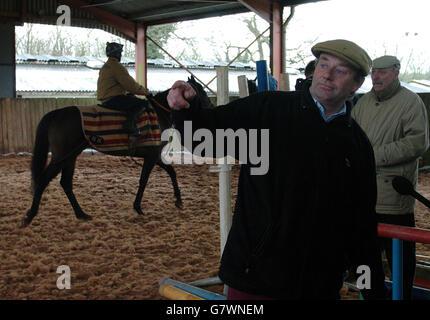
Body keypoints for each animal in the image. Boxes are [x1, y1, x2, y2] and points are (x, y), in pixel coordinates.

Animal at [21, 77, 213, 228]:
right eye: (201, 91)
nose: (210, 106)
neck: (159, 112)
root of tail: (56, 113)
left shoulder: (155, 156)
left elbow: (171, 172)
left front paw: (178, 201)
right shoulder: (152, 156)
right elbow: (144, 180)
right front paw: (138, 207)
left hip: (70, 157)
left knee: (65, 183)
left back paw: (81, 214)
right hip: (62, 157)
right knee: (43, 180)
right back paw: (30, 216)